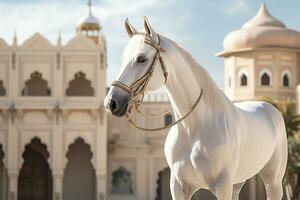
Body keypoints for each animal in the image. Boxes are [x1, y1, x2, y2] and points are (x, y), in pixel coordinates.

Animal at [103, 17, 288, 200]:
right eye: (123, 58)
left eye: (141, 58)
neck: (193, 128)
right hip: (238, 181)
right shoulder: (178, 186)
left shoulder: (222, 186)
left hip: (273, 181)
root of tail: (271, 108)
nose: (111, 103)